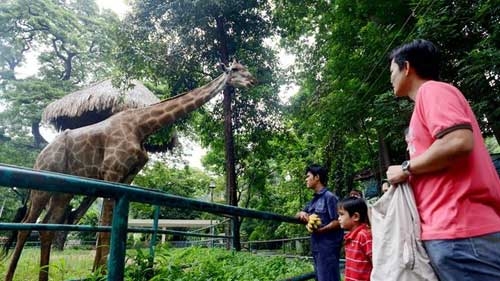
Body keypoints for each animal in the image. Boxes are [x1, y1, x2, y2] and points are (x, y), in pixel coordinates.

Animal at [2, 59, 254, 280]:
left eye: (245, 68)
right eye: (234, 69)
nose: (253, 80)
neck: (142, 126)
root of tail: (39, 157)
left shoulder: (127, 177)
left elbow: (111, 225)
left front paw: (100, 271)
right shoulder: (111, 173)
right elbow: (105, 226)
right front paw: (99, 273)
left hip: (64, 190)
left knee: (47, 227)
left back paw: (43, 277)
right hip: (42, 185)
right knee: (26, 226)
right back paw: (10, 276)